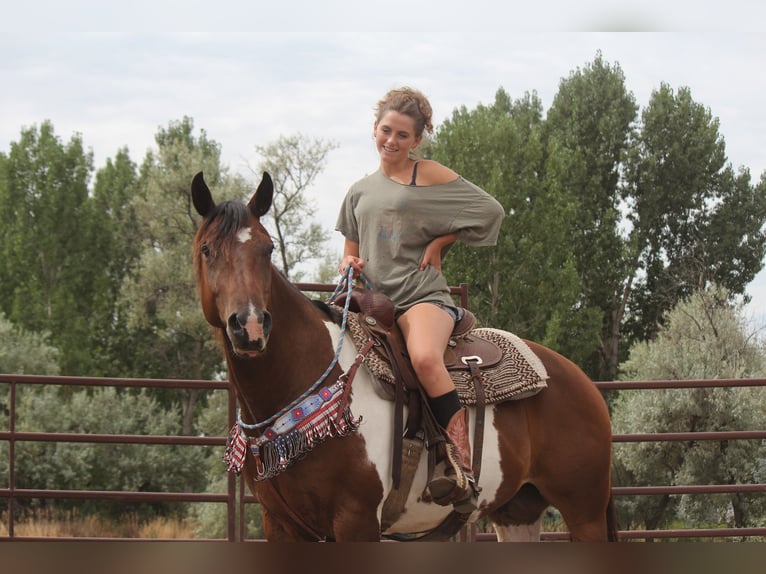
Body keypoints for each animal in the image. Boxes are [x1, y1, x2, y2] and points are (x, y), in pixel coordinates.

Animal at [191, 171, 617, 542]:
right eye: (207, 250)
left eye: (267, 249)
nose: (250, 325)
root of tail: (581, 381)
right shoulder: (282, 525)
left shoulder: (357, 521)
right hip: (518, 511)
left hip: (586, 511)